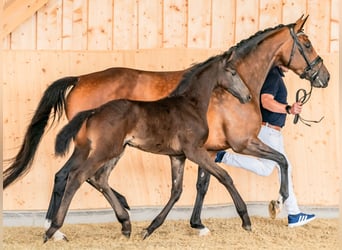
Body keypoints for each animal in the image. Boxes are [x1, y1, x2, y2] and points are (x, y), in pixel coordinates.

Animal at [43, 51, 251, 241]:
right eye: (233, 72)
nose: (247, 96)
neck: (190, 105)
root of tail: (94, 111)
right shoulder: (194, 151)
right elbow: (224, 176)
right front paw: (246, 220)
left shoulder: (178, 156)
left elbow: (176, 191)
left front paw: (150, 228)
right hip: (104, 151)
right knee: (77, 176)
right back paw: (52, 229)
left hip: (116, 151)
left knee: (99, 178)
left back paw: (126, 224)